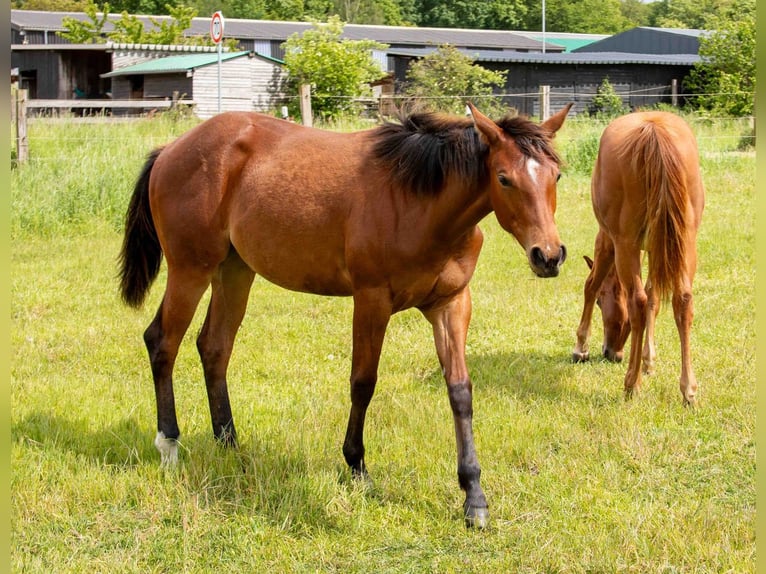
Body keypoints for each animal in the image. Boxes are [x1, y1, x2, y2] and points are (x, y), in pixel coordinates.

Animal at [119, 102, 573, 529]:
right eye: (503, 178)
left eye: (556, 176)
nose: (548, 256)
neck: (419, 201)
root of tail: (170, 150)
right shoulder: (371, 301)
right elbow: (363, 383)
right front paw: (356, 466)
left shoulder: (452, 304)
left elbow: (460, 392)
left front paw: (474, 496)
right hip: (190, 270)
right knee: (162, 342)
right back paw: (169, 445)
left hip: (234, 271)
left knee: (214, 347)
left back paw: (228, 442)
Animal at [572, 111, 705, 405]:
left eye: (602, 303)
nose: (611, 353)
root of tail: (653, 131)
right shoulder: (657, 250)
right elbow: (655, 298)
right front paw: (648, 360)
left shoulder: (606, 241)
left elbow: (591, 285)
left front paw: (580, 347)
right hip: (685, 244)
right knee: (683, 301)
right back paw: (688, 389)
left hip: (626, 246)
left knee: (637, 302)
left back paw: (631, 384)